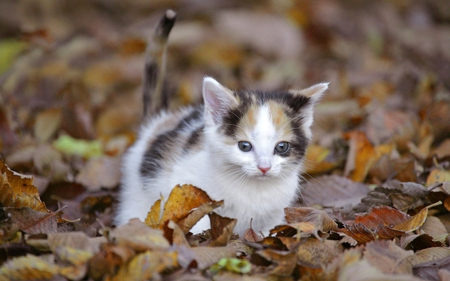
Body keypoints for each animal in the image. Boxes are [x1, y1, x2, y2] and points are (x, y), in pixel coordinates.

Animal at [114, 10, 328, 234]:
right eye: (244, 146)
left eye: (282, 147)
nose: (264, 168)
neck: (254, 189)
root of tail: (160, 121)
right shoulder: (189, 191)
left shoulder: (276, 212)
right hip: (137, 191)